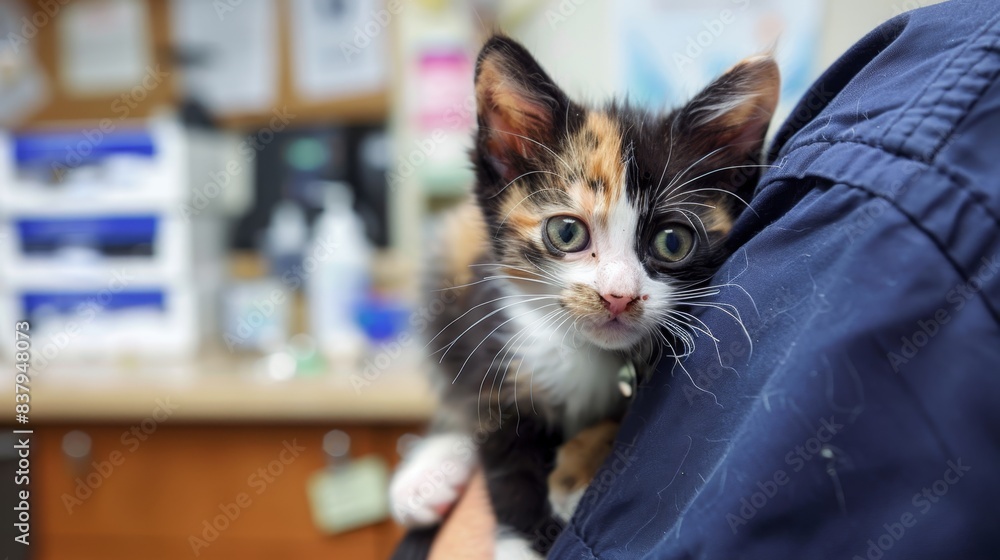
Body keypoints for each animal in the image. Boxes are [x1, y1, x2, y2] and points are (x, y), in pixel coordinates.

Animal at [386, 35, 776, 556]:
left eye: (673, 242)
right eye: (567, 232)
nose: (618, 297)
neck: (583, 352)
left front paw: (580, 467)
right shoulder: (495, 349)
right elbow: (504, 458)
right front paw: (521, 541)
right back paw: (429, 470)